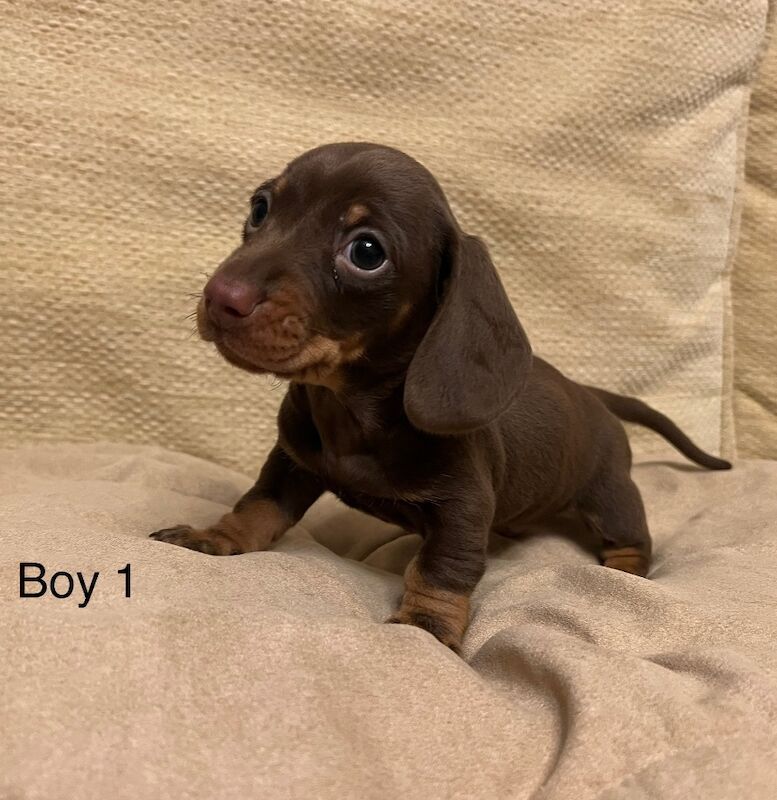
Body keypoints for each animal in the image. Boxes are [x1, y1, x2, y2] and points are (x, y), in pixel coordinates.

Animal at [150, 142, 728, 648]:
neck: (350, 409)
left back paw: (626, 570)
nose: (222, 298)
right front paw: (218, 536)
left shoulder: (463, 508)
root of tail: (591, 394)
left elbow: (441, 568)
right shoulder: (292, 462)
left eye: (366, 252)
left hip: (609, 492)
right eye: (260, 207)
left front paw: (425, 623)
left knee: (632, 536)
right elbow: (259, 505)